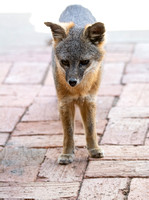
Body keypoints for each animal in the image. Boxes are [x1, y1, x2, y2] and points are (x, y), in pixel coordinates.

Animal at [44, 4, 105, 164]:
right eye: (65, 62)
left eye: (84, 62)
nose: (72, 82)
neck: (79, 91)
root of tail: (75, 5)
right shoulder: (65, 102)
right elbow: (69, 133)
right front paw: (67, 154)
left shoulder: (89, 100)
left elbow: (90, 129)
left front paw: (94, 149)